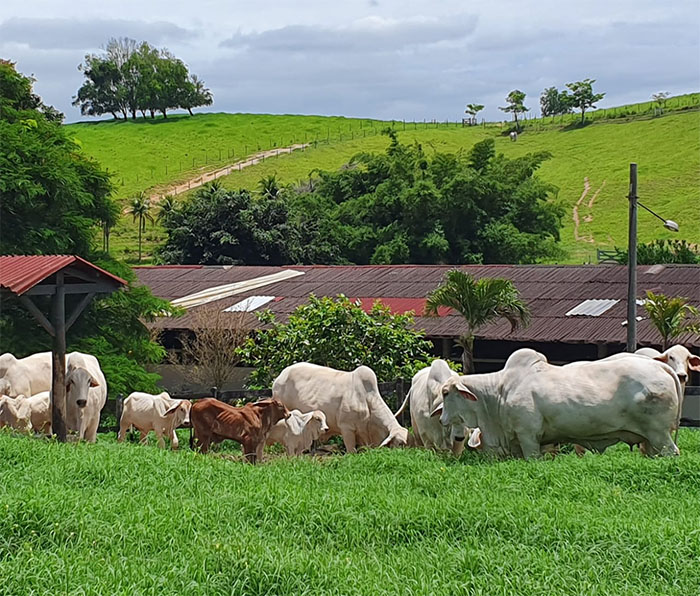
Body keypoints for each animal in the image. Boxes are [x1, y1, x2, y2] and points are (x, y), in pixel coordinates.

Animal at [430, 346, 680, 458]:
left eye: (446, 393)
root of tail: (661, 366)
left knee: (672, 451)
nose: (441, 420)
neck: (499, 391)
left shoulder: (528, 437)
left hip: (659, 433)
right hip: (650, 440)